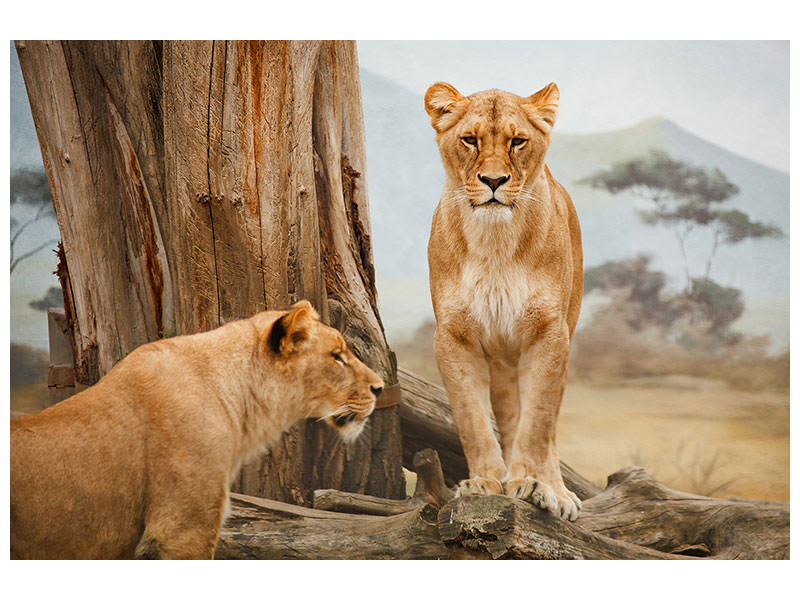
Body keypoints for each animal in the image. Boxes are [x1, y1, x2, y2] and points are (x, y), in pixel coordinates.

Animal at [424, 82, 583, 520]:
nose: (493, 180)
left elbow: (538, 423)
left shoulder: (549, 334)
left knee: (548, 424)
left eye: (517, 141)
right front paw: (484, 482)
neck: (494, 241)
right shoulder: (453, 337)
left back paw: (557, 491)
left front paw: (531, 483)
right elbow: (472, 419)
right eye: (470, 139)